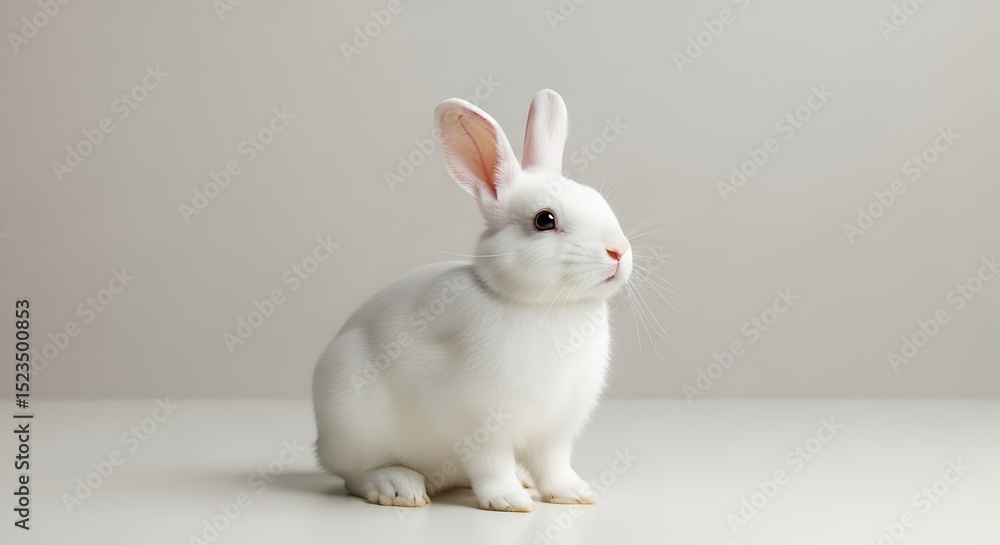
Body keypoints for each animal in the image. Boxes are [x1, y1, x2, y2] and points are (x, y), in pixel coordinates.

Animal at [312, 89, 632, 512]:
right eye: (544, 220)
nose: (618, 251)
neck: (542, 306)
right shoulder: (479, 425)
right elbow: (491, 465)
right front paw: (509, 501)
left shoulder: (554, 432)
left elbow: (553, 466)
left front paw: (574, 493)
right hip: (353, 424)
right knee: (353, 475)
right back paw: (398, 487)